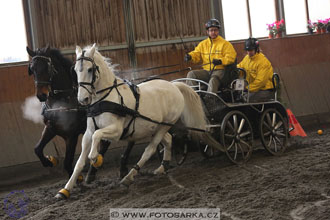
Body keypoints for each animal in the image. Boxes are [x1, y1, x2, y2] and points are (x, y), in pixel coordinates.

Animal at [55, 43, 218, 199]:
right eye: (76, 70)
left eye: (90, 70)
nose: (82, 99)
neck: (105, 99)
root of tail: (174, 85)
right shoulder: (88, 133)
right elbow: (79, 162)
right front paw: (65, 190)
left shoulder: (116, 131)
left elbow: (97, 138)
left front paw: (96, 158)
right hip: (156, 126)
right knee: (168, 140)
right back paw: (162, 167)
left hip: (164, 126)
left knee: (150, 149)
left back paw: (128, 177)